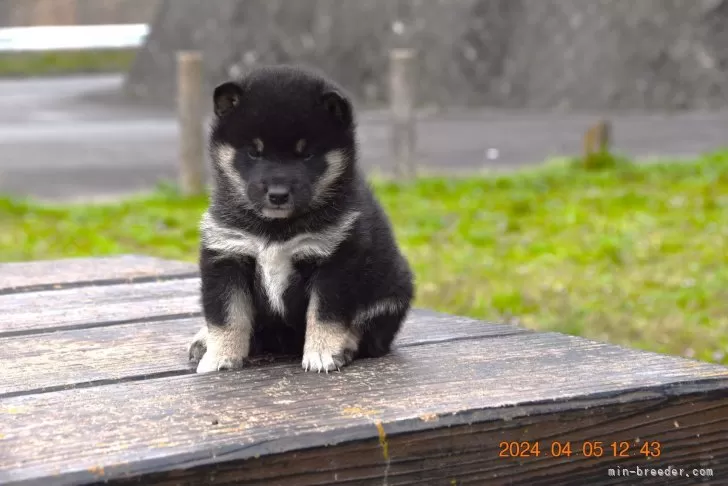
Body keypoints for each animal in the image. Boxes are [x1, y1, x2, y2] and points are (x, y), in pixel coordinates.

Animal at [188, 66, 416, 374]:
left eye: (306, 154)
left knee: (368, 333)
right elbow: (226, 315)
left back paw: (347, 345)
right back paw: (203, 340)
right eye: (254, 151)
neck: (275, 229)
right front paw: (220, 355)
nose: (277, 194)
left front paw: (322, 352)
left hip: (392, 292)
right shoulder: (227, 255)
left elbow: (324, 314)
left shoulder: (335, 261)